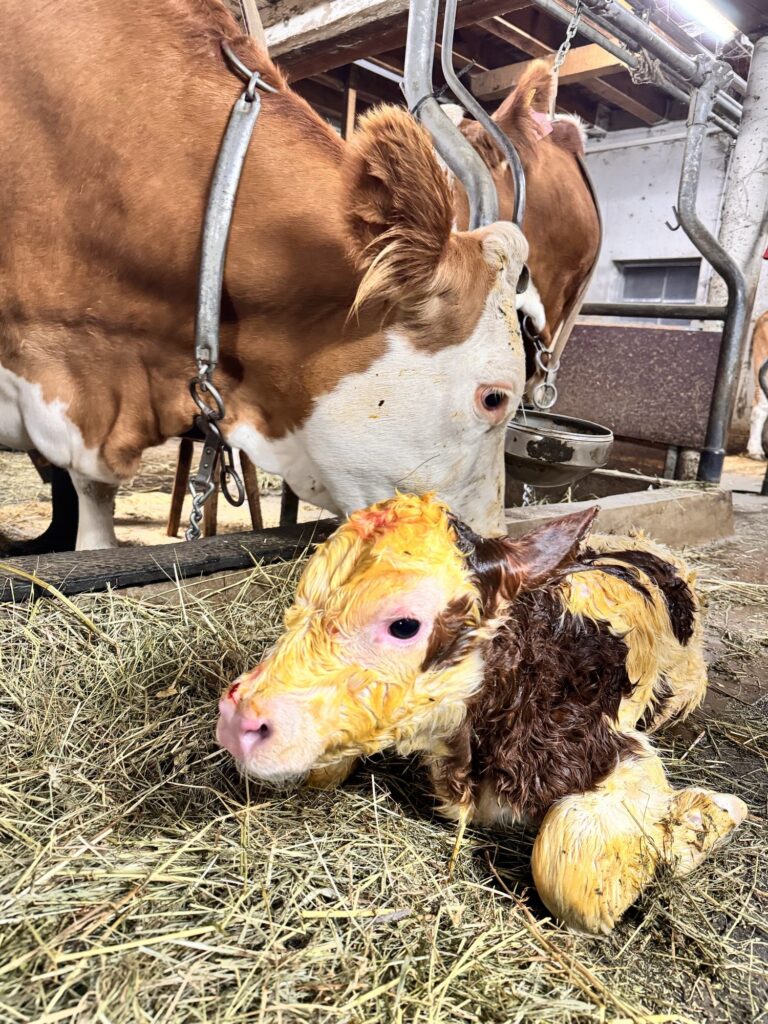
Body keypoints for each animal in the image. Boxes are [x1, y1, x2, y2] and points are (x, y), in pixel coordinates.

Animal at [217, 494, 747, 934]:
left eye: (404, 625)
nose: (239, 720)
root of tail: (637, 545)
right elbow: (322, 770)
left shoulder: (616, 746)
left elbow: (572, 875)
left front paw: (705, 822)